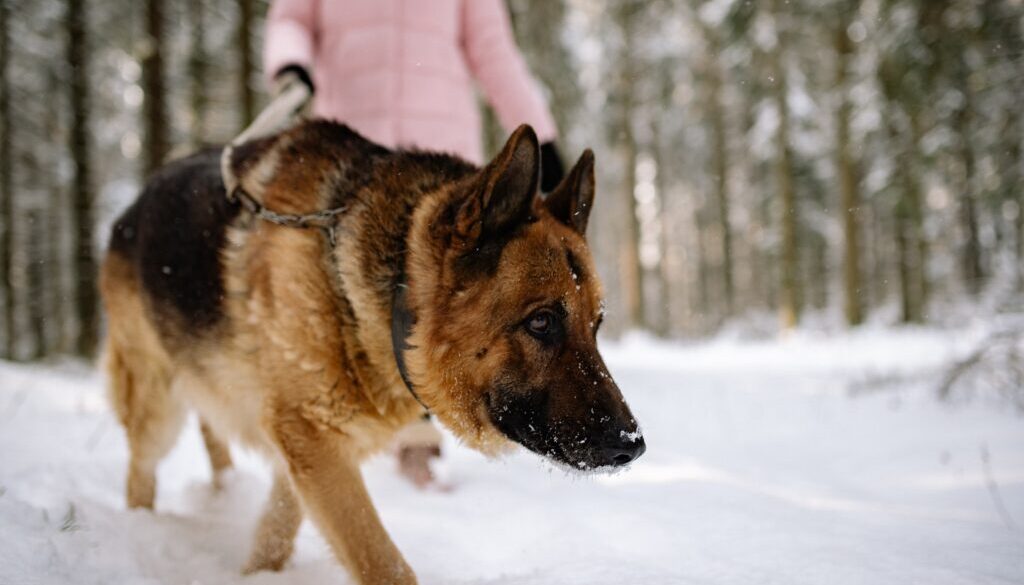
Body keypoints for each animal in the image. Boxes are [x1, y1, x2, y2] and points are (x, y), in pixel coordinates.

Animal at [103, 121, 647, 581]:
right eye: (541, 321)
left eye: (596, 325)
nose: (633, 446)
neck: (388, 308)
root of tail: (134, 202)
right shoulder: (312, 439)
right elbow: (384, 564)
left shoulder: (305, 447)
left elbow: (277, 530)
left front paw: (257, 575)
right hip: (156, 410)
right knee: (139, 473)